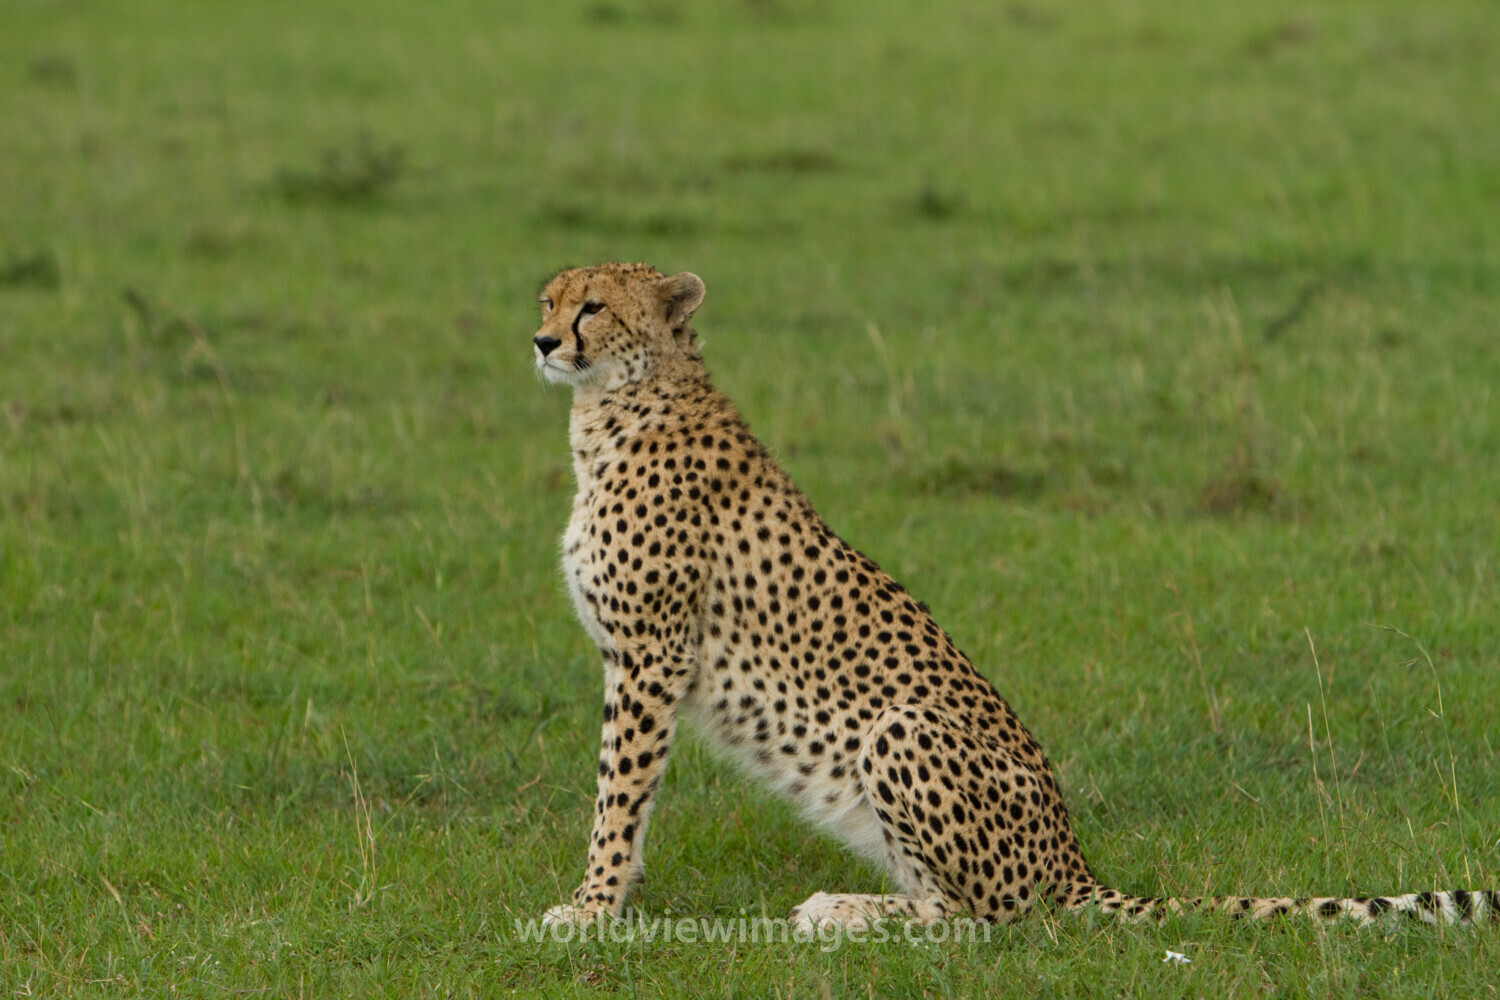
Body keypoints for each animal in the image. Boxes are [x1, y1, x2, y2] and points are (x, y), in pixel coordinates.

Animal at [530, 261, 1495, 931]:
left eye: (593, 308)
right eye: (547, 300)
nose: (540, 343)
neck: (614, 406)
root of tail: (1072, 856)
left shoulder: (651, 655)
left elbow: (618, 793)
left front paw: (591, 908)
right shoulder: (640, 658)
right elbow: (627, 791)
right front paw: (606, 899)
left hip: (902, 729)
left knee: (988, 918)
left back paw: (841, 913)